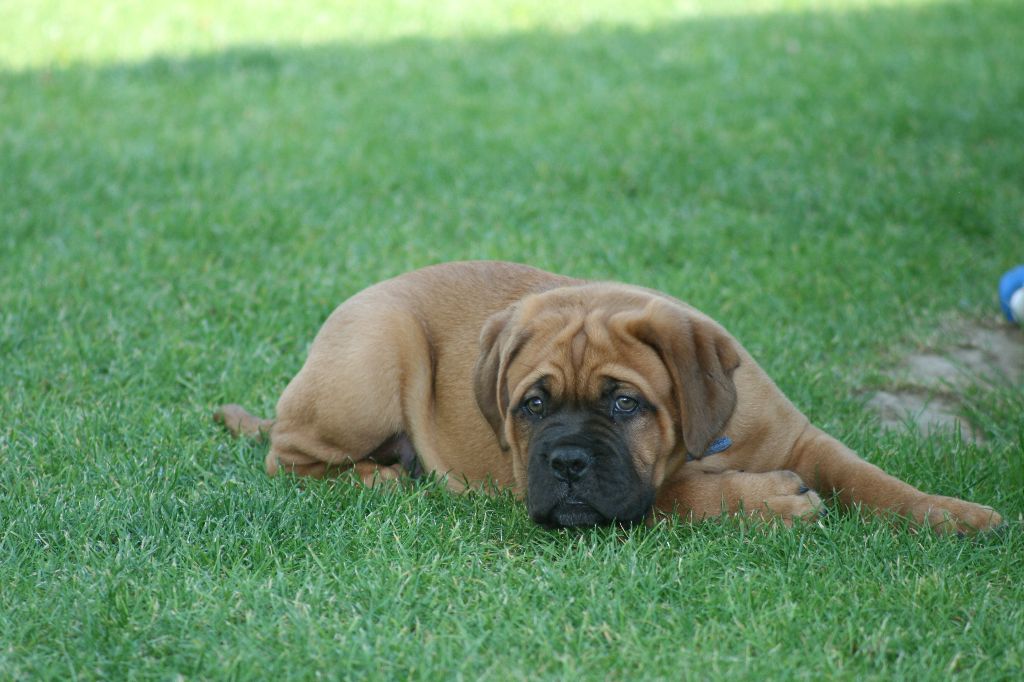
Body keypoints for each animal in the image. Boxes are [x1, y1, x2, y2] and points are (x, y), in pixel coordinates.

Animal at [215, 261, 1002, 533]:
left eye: (625, 404)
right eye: (531, 406)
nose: (565, 463)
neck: (717, 440)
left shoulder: (804, 439)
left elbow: (869, 477)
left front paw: (951, 513)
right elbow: (682, 493)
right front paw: (770, 501)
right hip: (378, 351)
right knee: (287, 458)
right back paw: (384, 477)